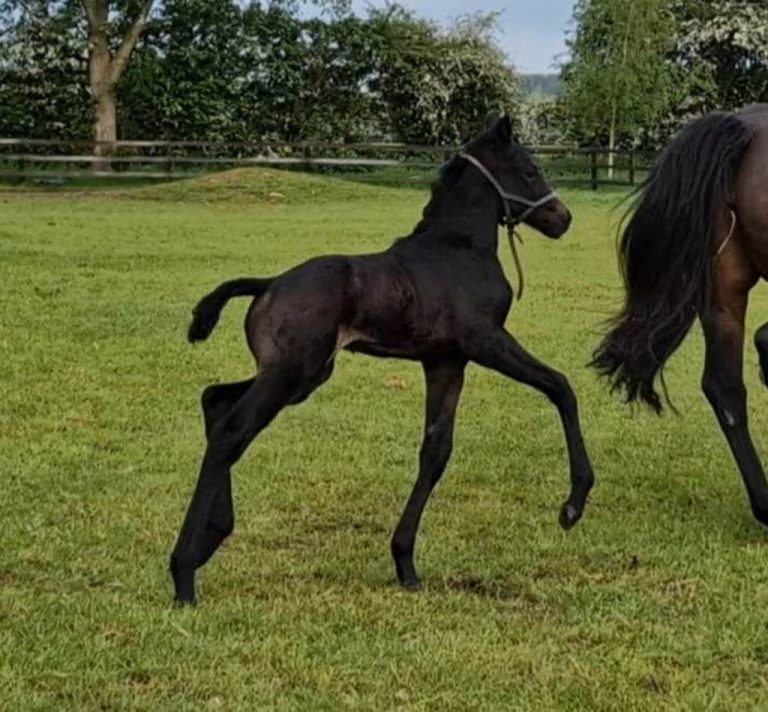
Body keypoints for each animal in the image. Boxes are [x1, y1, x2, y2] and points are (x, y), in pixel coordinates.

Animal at [170, 116, 596, 605]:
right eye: (529, 170)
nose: (563, 217)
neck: (458, 250)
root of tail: (269, 283)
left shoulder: (446, 362)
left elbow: (436, 451)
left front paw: (405, 563)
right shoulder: (486, 342)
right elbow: (560, 386)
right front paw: (572, 505)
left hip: (304, 375)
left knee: (215, 400)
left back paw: (212, 536)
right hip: (292, 374)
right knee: (231, 432)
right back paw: (183, 572)